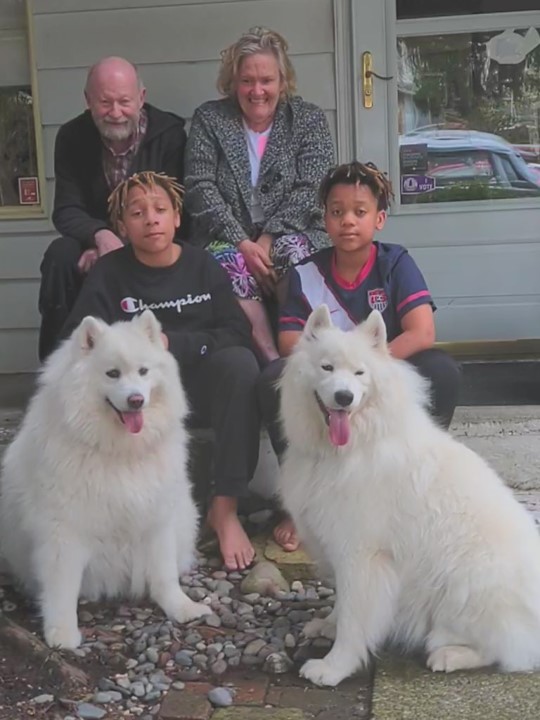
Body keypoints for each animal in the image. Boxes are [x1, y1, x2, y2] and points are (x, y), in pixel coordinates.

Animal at [0, 310, 210, 648]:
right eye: (112, 374)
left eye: (143, 371)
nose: (136, 400)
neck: (119, 452)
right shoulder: (64, 532)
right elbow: (61, 588)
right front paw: (62, 634)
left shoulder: (157, 517)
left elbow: (164, 573)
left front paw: (182, 608)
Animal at [280, 304, 540, 688]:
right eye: (326, 367)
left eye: (359, 373)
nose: (344, 397)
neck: (350, 449)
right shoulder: (340, 549)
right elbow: (342, 605)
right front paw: (327, 626)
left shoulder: (361, 556)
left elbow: (354, 620)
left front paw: (333, 668)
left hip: (463, 586)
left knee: (506, 650)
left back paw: (449, 655)